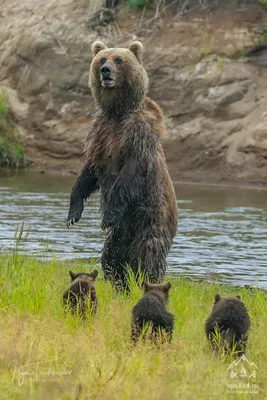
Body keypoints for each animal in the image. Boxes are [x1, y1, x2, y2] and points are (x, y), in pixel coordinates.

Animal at [67, 41, 179, 290]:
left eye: (119, 59)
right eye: (102, 59)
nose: (105, 70)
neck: (117, 111)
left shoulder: (136, 135)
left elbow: (129, 174)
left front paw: (107, 215)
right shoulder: (101, 134)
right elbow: (88, 174)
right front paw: (73, 214)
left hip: (149, 218)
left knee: (146, 255)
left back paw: (144, 281)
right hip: (120, 234)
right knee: (111, 257)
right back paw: (119, 282)